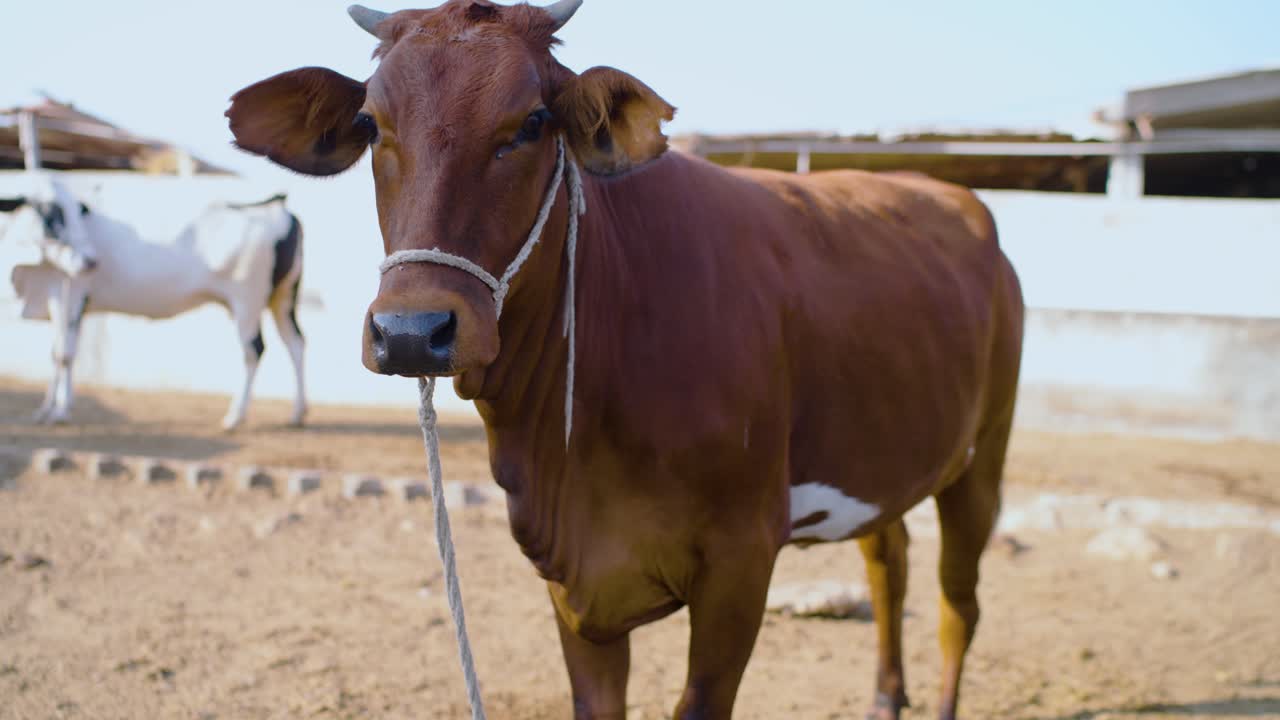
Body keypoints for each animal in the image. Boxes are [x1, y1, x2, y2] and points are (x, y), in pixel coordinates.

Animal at [1, 176, 307, 430]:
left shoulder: (70, 296)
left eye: (75, 212)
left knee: (254, 350)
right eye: (51, 213)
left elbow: (64, 355)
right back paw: (297, 413)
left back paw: (235, 415)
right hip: (282, 299)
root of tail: (277, 206)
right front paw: (45, 409)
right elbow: (54, 354)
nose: (90, 261)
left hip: (247, 300)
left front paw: (60, 412)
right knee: (295, 343)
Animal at [225, 2, 1024, 718]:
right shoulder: (571, 579)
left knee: (958, 604)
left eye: (532, 123)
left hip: (983, 458)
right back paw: (886, 699)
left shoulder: (741, 559)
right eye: (372, 126)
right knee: (890, 563)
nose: (413, 331)